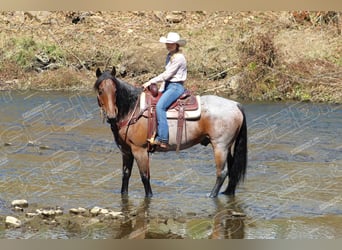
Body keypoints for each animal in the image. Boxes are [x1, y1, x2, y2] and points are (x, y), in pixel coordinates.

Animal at [94, 67, 246, 198]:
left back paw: (211, 195)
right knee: (231, 170)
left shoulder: (140, 150)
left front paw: (149, 196)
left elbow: (145, 177)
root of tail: (235, 104)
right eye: (100, 91)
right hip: (227, 147)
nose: (111, 116)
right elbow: (126, 175)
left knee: (222, 172)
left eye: (115, 91)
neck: (133, 109)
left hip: (220, 146)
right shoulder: (126, 151)